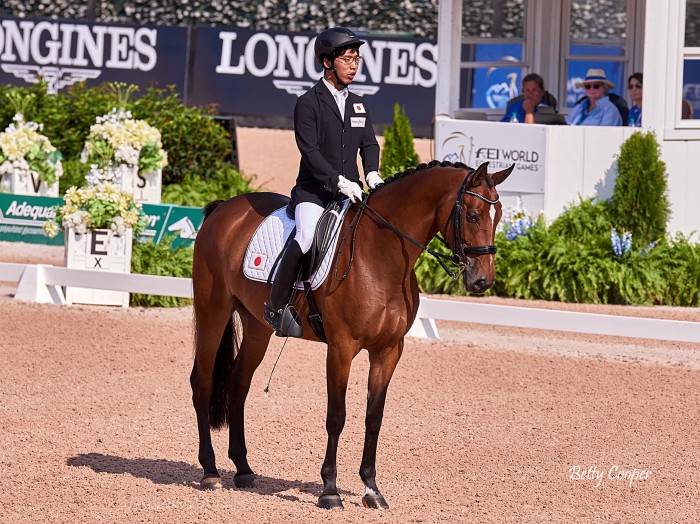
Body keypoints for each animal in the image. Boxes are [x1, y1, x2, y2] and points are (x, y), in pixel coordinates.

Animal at [191, 159, 516, 508]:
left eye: (498, 216)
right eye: (473, 215)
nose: (482, 280)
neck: (380, 257)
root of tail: (226, 208)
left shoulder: (388, 351)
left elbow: (374, 417)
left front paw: (372, 489)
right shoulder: (341, 348)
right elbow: (337, 416)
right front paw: (330, 490)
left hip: (257, 327)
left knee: (238, 384)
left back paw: (243, 469)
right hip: (213, 312)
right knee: (203, 383)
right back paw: (210, 472)